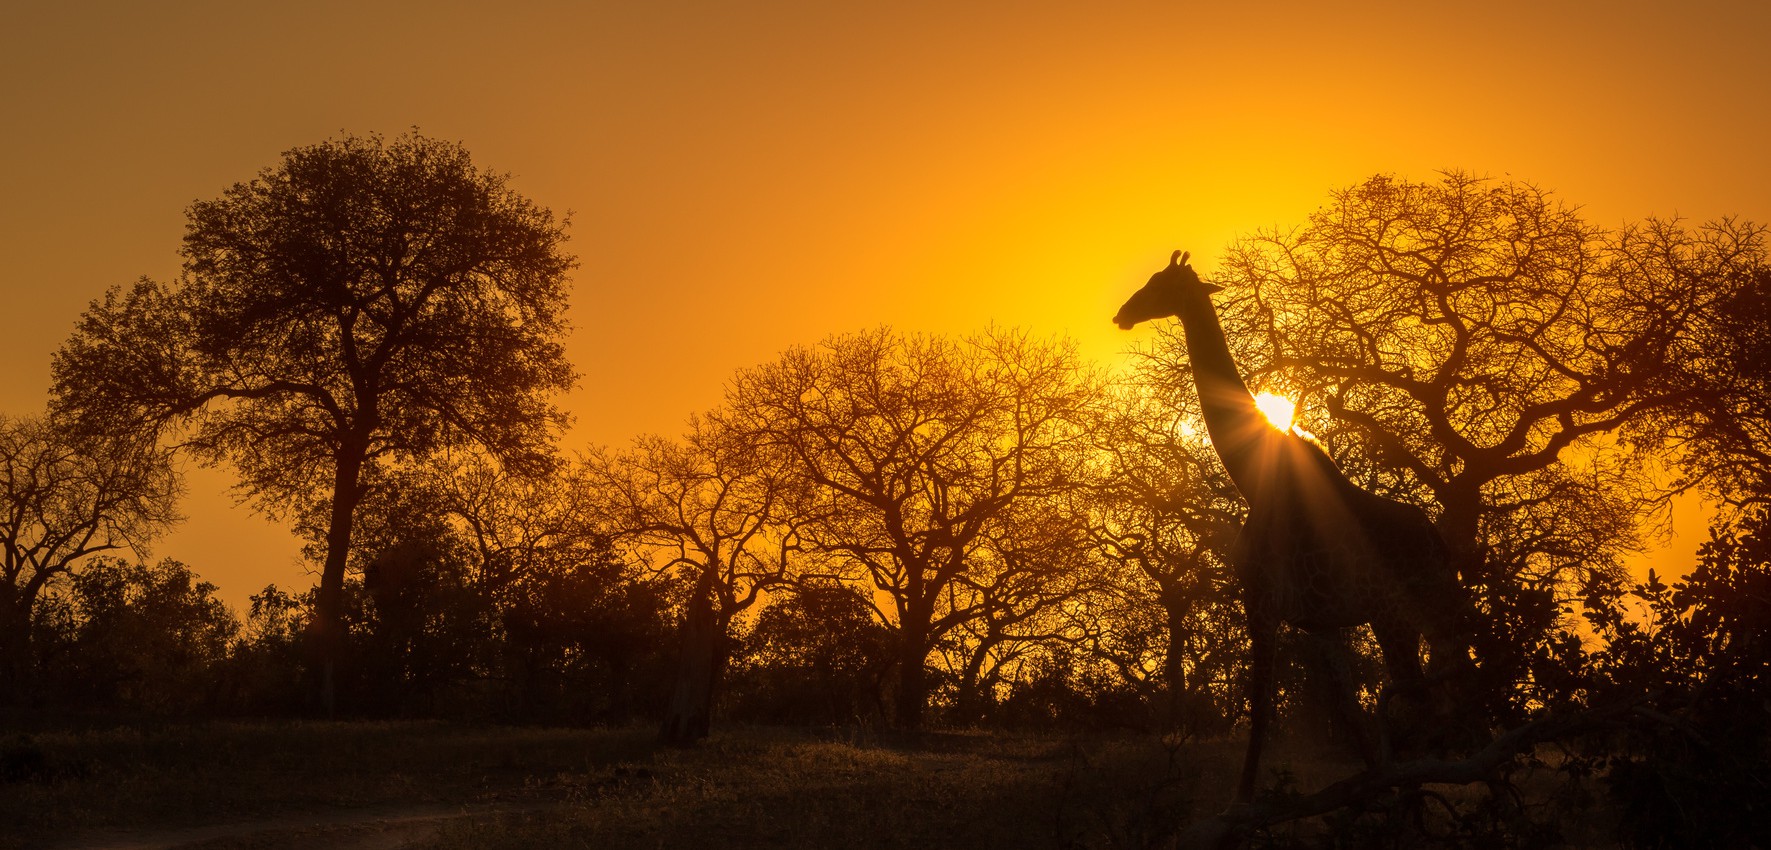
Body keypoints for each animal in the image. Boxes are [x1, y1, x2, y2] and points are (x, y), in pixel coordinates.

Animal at [1112, 251, 1473, 803]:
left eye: (1160, 284)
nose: (1122, 314)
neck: (1250, 476)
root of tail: (1439, 546)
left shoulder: (1261, 601)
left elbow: (1261, 713)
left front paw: (1240, 805)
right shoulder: (1320, 623)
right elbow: (1350, 720)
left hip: (1395, 618)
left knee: (1427, 708)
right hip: (1434, 618)